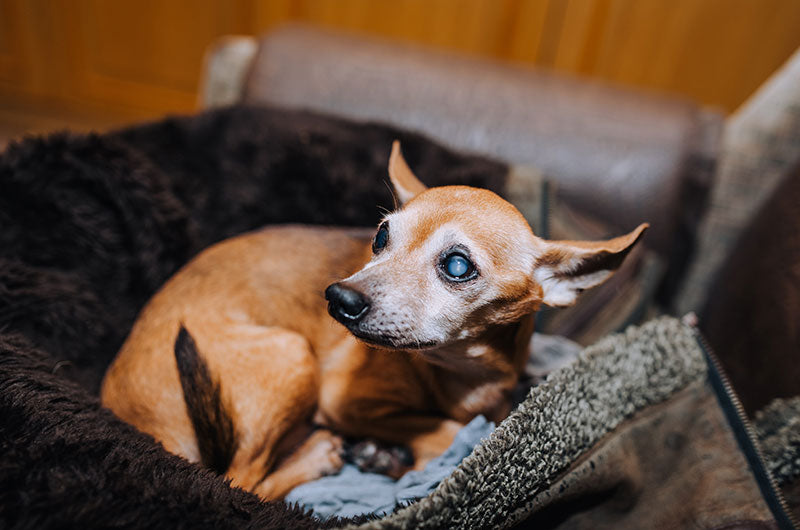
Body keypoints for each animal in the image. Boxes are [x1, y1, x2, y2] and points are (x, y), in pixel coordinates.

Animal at [101, 139, 648, 496]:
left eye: (457, 266)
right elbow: (450, 433)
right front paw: (406, 452)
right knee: (241, 481)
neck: (463, 375)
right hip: (291, 356)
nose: (339, 298)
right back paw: (318, 456)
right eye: (382, 236)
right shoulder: (344, 401)